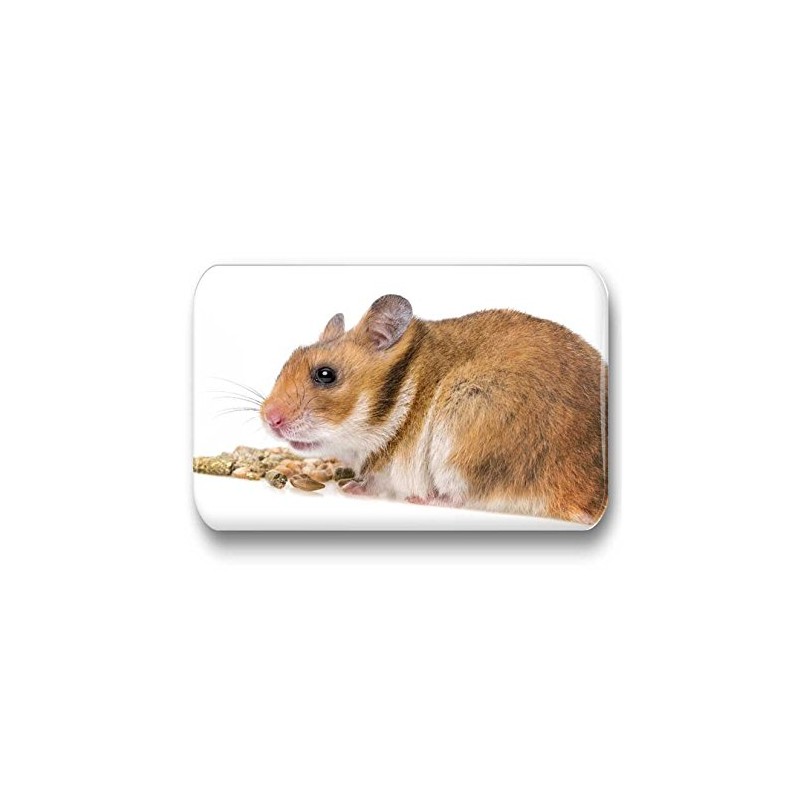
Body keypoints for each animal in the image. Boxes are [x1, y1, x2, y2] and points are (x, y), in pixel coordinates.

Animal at [261, 294, 607, 524]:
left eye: (325, 374)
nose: (268, 418)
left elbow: (376, 482)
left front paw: (349, 488)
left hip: (465, 436)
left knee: (462, 497)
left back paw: (422, 499)